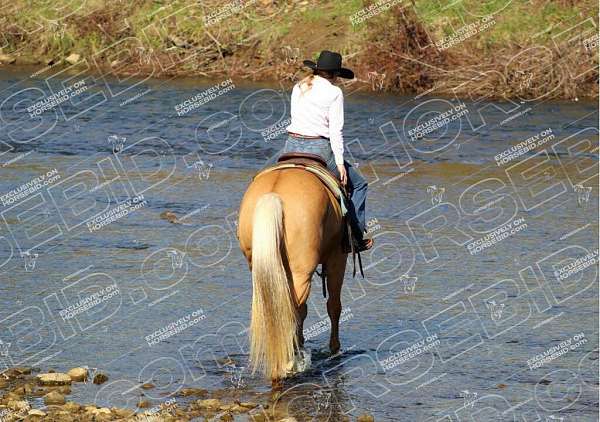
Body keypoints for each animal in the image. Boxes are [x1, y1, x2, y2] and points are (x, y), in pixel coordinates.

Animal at [236, 167, 344, 382]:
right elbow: (334, 306)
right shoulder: (338, 256)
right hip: (301, 273)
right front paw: (334, 348)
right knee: (294, 312)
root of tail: (273, 195)